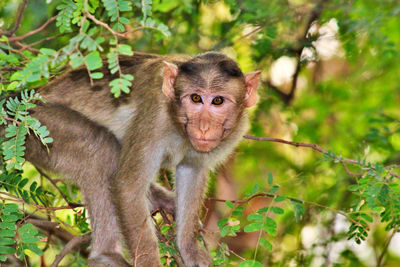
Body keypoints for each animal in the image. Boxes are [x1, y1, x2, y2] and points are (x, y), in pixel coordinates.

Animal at [0, 51, 260, 266]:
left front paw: (188, 248)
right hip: (37, 126)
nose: (204, 127)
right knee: (100, 149)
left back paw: (158, 199)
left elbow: (191, 170)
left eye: (218, 101)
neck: (177, 121)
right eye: (195, 98)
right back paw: (106, 254)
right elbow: (127, 187)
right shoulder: (155, 115)